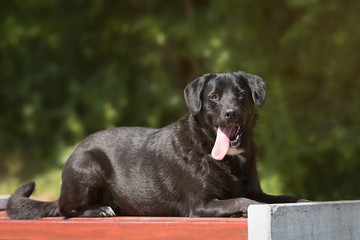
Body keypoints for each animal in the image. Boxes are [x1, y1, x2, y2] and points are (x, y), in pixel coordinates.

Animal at [7, 70, 302, 219]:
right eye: (214, 97)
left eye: (241, 94)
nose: (231, 113)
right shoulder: (201, 204)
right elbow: (243, 200)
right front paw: (250, 210)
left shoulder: (257, 190)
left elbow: (284, 197)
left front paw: (300, 201)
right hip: (88, 165)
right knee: (66, 210)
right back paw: (99, 209)